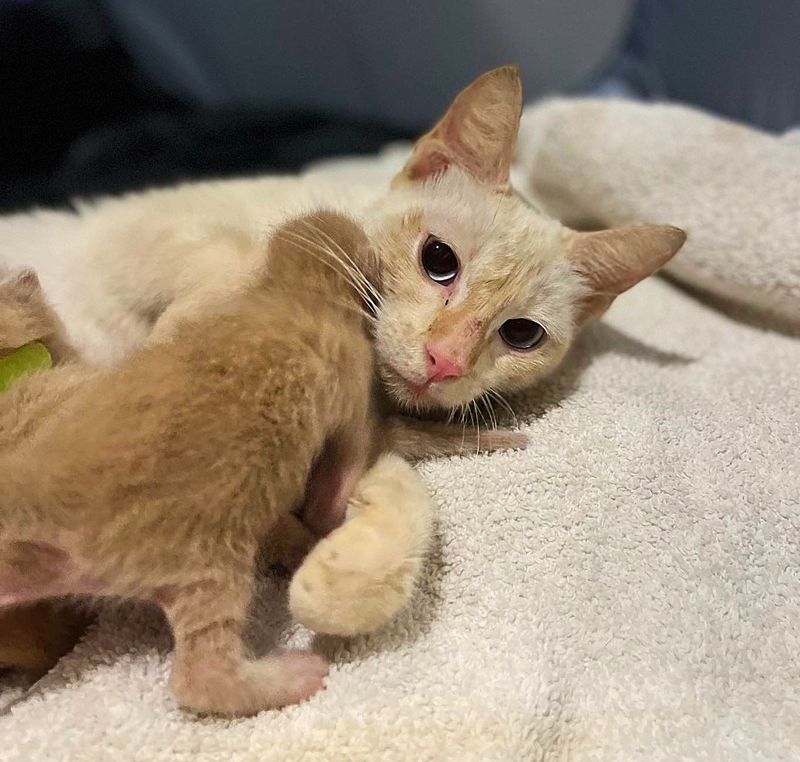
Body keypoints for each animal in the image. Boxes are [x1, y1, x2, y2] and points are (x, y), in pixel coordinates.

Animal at [0, 209, 438, 712]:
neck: (287, 289)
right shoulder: (348, 379)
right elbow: (343, 463)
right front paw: (325, 516)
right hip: (207, 565)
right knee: (200, 676)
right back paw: (294, 675)